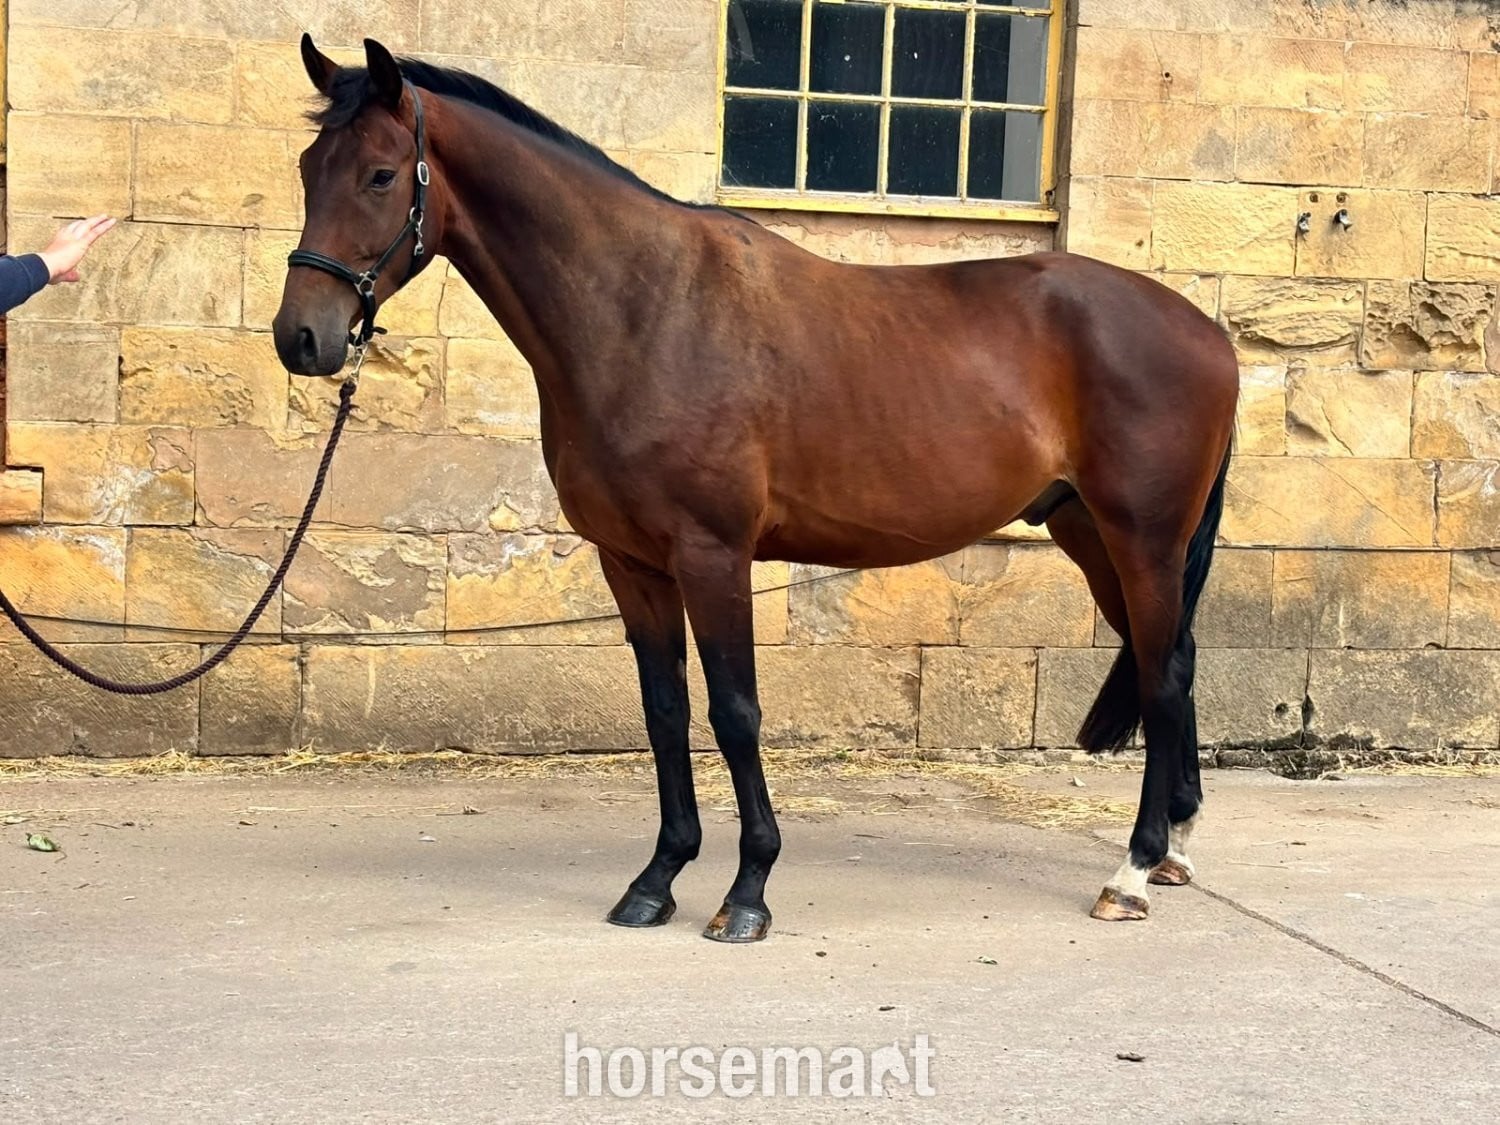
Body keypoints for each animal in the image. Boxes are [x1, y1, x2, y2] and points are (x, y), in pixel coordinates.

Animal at [274, 36, 1240, 943]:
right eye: (307, 169)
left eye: (381, 174)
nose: (302, 338)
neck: (646, 311)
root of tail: (1210, 334)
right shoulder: (632, 563)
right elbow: (665, 713)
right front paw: (657, 879)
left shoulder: (713, 554)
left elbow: (735, 712)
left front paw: (747, 891)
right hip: (1092, 537)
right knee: (1177, 662)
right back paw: (1175, 852)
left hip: (1142, 539)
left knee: (1162, 678)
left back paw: (1130, 872)